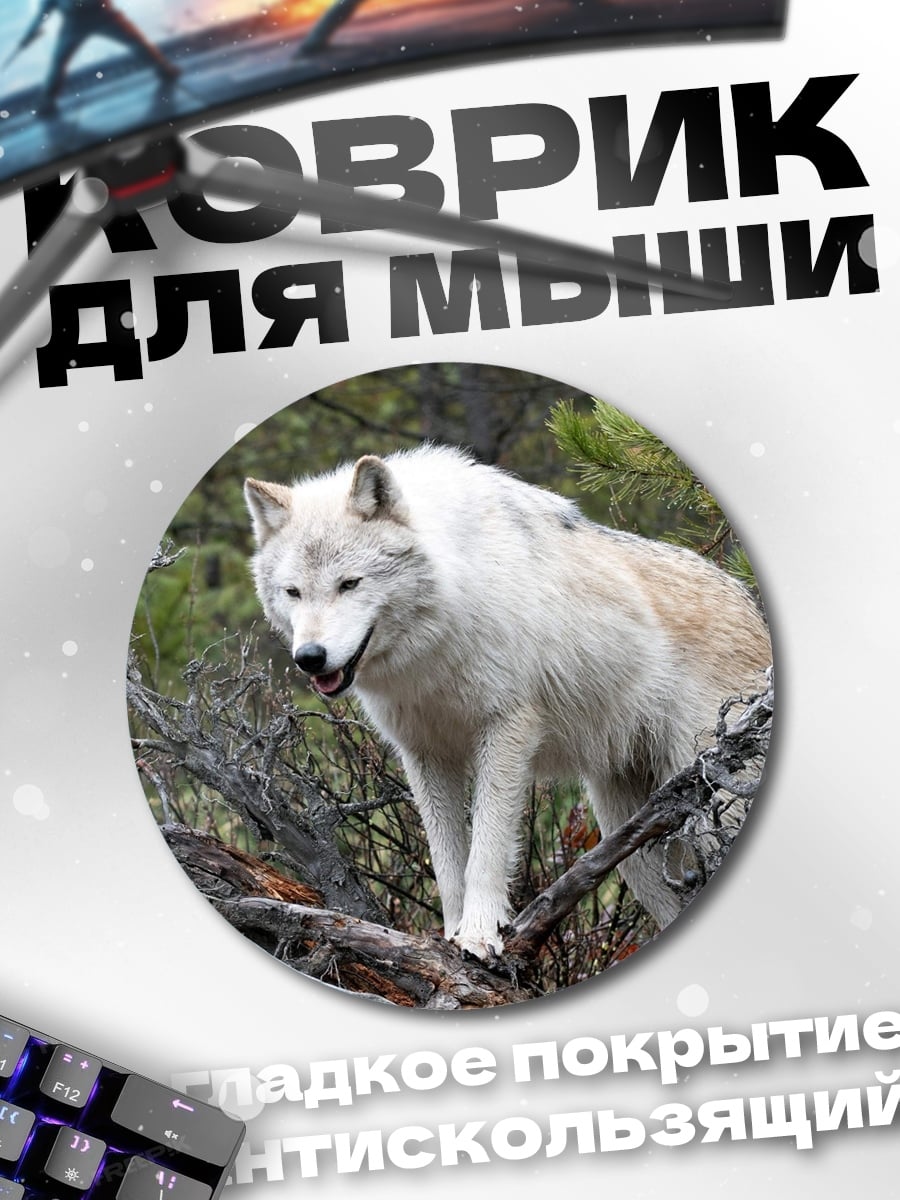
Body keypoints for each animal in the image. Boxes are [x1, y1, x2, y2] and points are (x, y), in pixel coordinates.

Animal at [244, 444, 771, 959]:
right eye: (293, 592)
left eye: (349, 583)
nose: (310, 658)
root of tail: (752, 607)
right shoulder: (425, 753)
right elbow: (446, 861)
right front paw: (449, 937)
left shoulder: (507, 731)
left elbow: (487, 849)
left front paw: (479, 936)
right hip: (628, 837)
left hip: (707, 809)